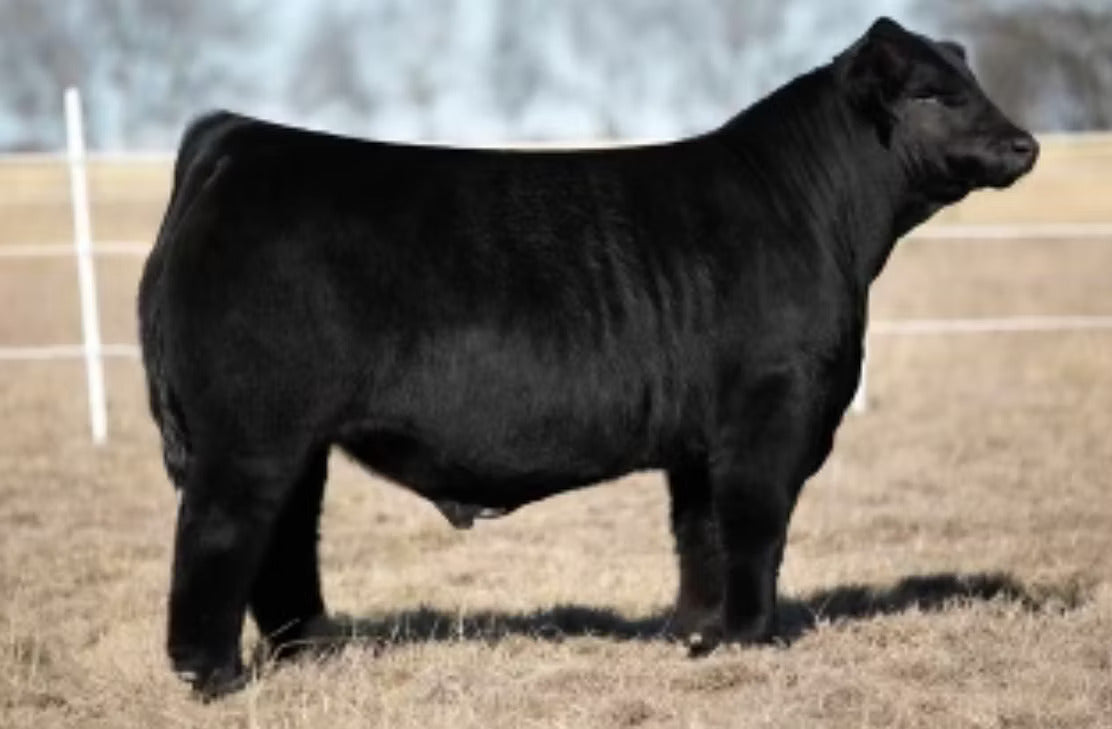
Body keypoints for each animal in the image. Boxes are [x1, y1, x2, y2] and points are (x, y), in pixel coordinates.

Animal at [139, 17, 1038, 698]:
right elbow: (755, 525)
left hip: (295, 443)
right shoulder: (769, 412)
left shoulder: (699, 441)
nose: (1024, 144)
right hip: (250, 435)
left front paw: (698, 633)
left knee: (285, 539)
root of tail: (239, 138)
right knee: (220, 535)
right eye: (930, 94)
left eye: (968, 81)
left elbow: (701, 534)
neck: (819, 216)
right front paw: (752, 638)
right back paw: (212, 675)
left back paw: (313, 651)